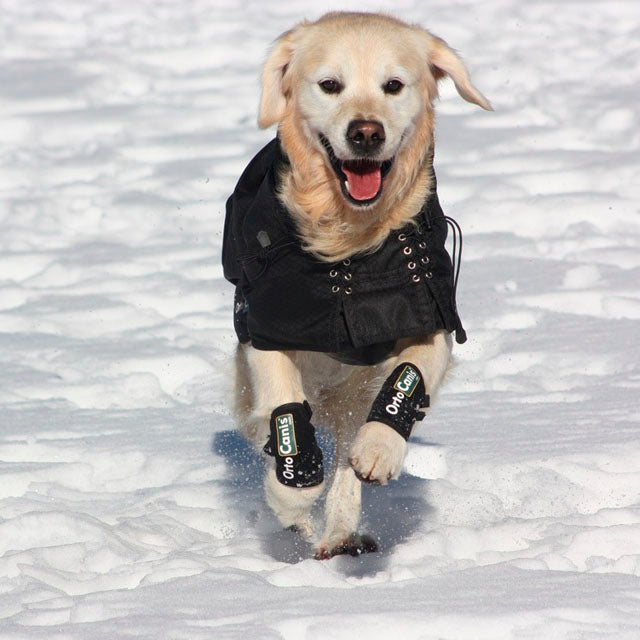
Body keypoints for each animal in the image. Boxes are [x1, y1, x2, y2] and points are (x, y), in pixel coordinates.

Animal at [222, 11, 492, 560]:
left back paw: (340, 531)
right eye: (330, 85)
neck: (348, 244)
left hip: (352, 394)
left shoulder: (429, 308)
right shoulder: (264, 327)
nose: (366, 132)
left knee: (346, 454)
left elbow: (410, 373)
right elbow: (283, 402)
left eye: (394, 86)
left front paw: (381, 449)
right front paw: (291, 485)